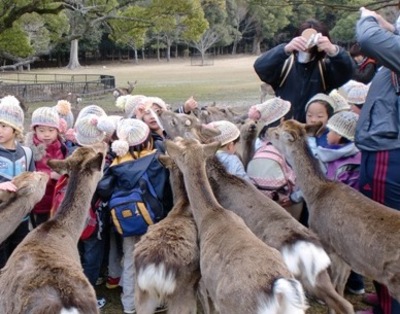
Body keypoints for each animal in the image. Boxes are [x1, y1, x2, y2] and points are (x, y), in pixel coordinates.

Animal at [268, 119, 400, 302]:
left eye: (277, 133)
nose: (266, 131)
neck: (315, 195)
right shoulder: (346, 253)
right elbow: (341, 285)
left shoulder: (326, 242)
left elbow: (334, 283)